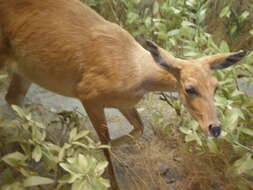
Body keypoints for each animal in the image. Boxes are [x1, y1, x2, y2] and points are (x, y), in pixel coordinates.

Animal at [0, 0, 245, 189]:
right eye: (190, 88)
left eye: (216, 86)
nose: (215, 128)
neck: (135, 71)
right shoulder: (89, 95)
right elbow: (106, 145)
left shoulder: (124, 103)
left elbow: (137, 129)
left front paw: (82, 150)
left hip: (25, 72)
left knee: (13, 100)